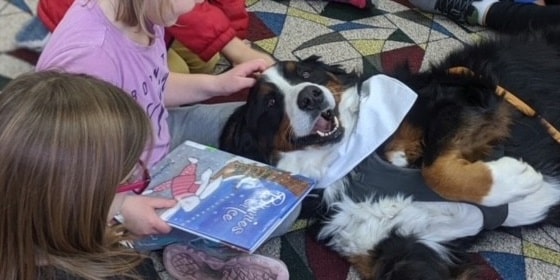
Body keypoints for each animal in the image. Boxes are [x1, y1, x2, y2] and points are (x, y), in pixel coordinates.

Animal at [220, 29, 560, 280]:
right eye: (270, 103)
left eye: (305, 72)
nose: (310, 96)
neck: (349, 166)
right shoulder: (405, 251)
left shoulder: (459, 99)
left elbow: (435, 169)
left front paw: (511, 180)